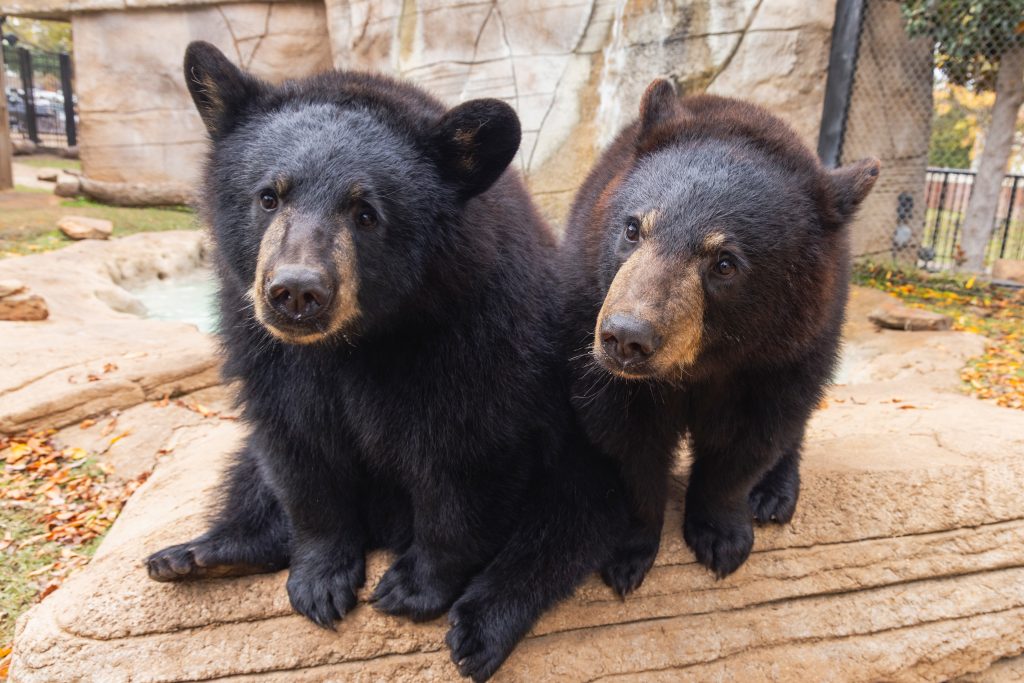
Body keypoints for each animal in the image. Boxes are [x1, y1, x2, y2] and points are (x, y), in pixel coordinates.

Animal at [143, 42, 622, 683]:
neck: (358, 341)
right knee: (248, 473)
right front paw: (319, 580)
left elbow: (463, 462)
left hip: (583, 445)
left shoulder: (475, 338)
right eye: (269, 195)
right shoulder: (264, 348)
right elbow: (296, 452)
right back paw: (199, 554)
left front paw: (412, 588)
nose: (297, 292)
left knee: (561, 527)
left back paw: (481, 626)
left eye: (365, 212)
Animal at [561, 78, 880, 593]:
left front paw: (722, 537)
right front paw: (628, 551)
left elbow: (748, 439)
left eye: (724, 262)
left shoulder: (779, 352)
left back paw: (774, 493)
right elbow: (627, 435)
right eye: (632, 228)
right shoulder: (588, 312)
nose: (626, 338)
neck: (701, 362)